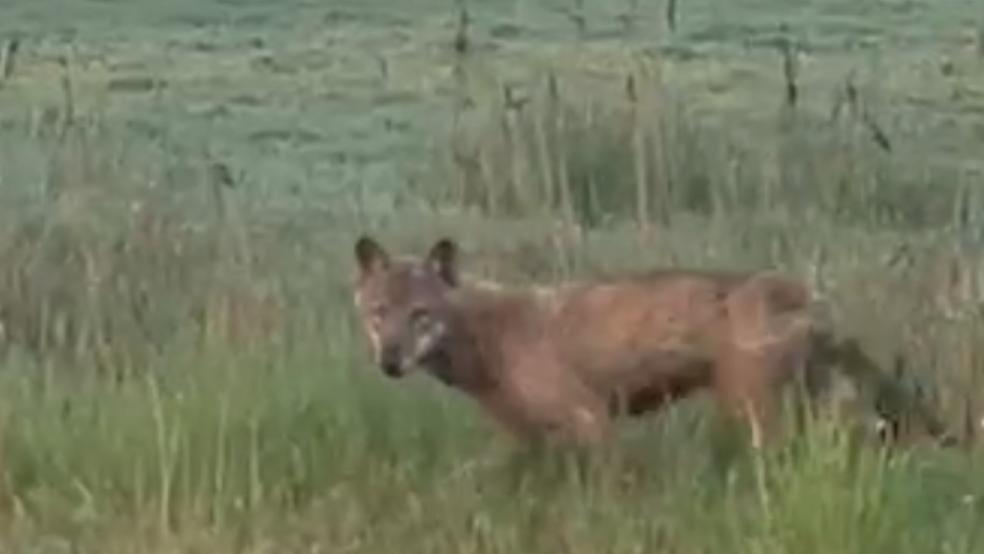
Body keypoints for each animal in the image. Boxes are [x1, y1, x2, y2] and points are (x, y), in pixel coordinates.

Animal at [350, 233, 948, 448]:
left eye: (421, 315)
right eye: (380, 314)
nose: (389, 361)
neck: (489, 337)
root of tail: (805, 290)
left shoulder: (592, 420)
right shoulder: (529, 440)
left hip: (754, 413)